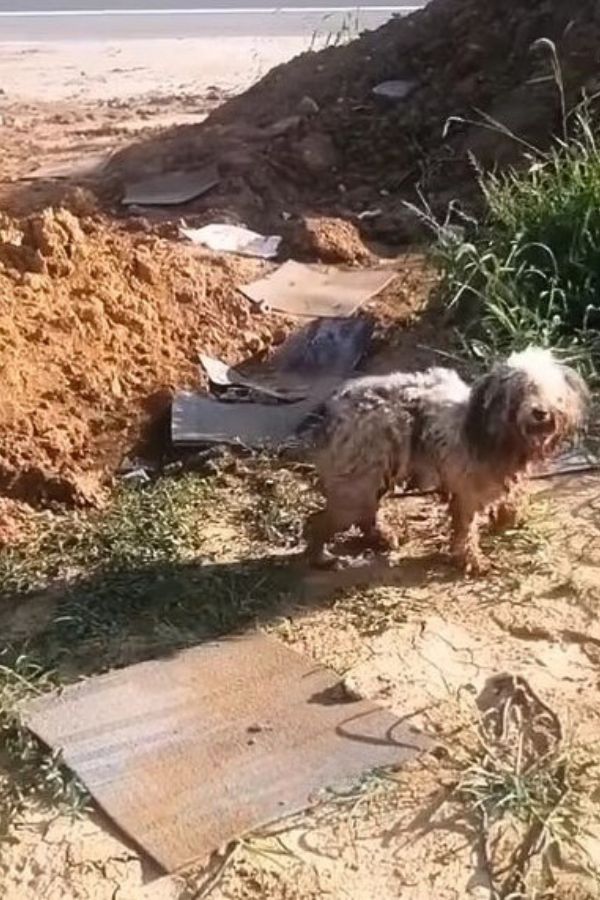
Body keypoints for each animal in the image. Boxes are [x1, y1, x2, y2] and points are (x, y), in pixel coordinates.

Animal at [302, 348, 588, 572]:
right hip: (357, 482)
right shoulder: (467, 492)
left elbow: (510, 500)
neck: (493, 431)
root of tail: (333, 408)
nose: (540, 412)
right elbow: (466, 531)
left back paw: (382, 537)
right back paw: (321, 557)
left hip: (372, 478)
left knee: (365, 515)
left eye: (550, 389)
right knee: (318, 521)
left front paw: (506, 519)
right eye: (520, 390)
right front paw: (472, 560)